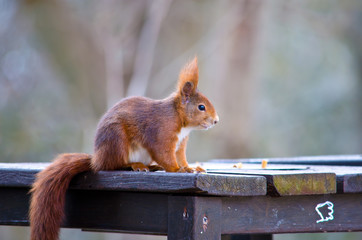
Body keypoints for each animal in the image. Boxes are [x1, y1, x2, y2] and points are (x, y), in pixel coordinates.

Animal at [29, 56, 218, 240]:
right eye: (201, 107)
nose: (216, 121)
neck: (180, 119)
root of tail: (96, 159)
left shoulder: (181, 143)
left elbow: (181, 157)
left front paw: (190, 168)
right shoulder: (162, 134)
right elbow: (165, 155)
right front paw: (178, 170)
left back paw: (151, 166)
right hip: (117, 141)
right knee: (113, 165)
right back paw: (135, 165)